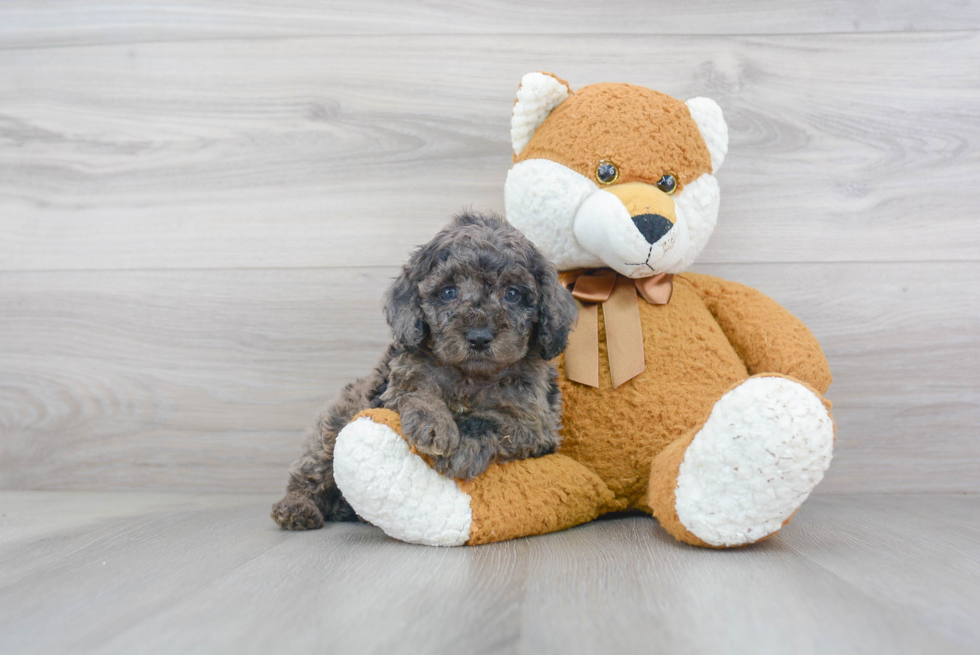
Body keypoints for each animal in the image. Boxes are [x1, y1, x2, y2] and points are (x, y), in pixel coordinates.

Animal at [272, 213, 580, 532]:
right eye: (448, 292)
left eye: (512, 294)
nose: (479, 337)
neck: (470, 375)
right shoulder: (400, 380)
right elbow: (418, 393)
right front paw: (434, 425)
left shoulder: (535, 422)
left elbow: (490, 421)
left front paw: (462, 446)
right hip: (332, 425)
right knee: (312, 471)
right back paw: (297, 507)